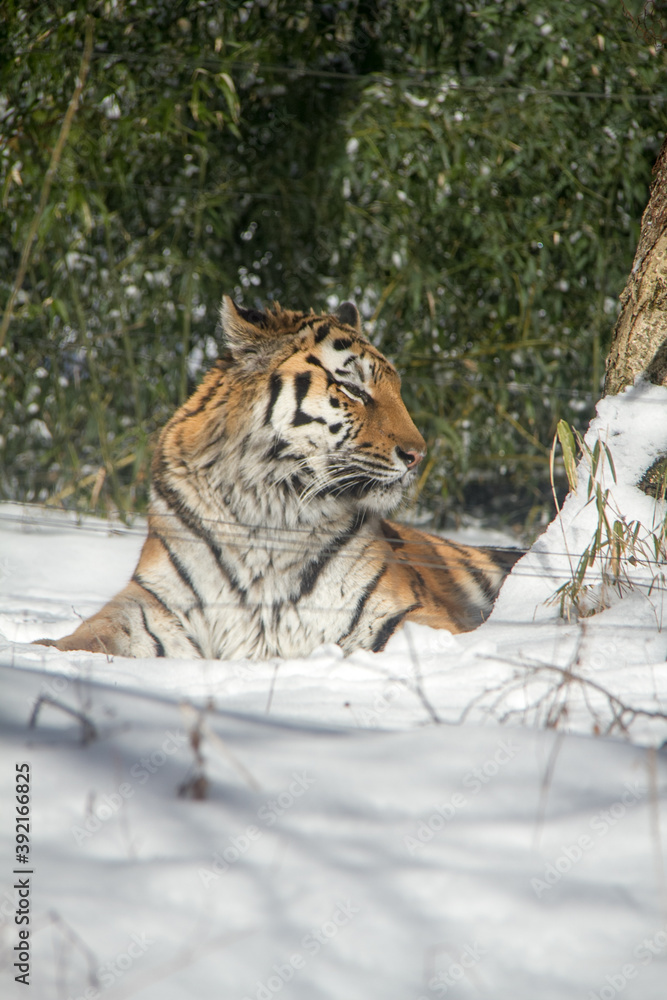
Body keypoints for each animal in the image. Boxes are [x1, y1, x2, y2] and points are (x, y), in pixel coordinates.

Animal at [37, 297, 521, 660]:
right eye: (354, 390)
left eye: (396, 390)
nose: (418, 455)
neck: (271, 508)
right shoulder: (155, 605)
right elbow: (91, 634)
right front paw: (43, 652)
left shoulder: (396, 611)